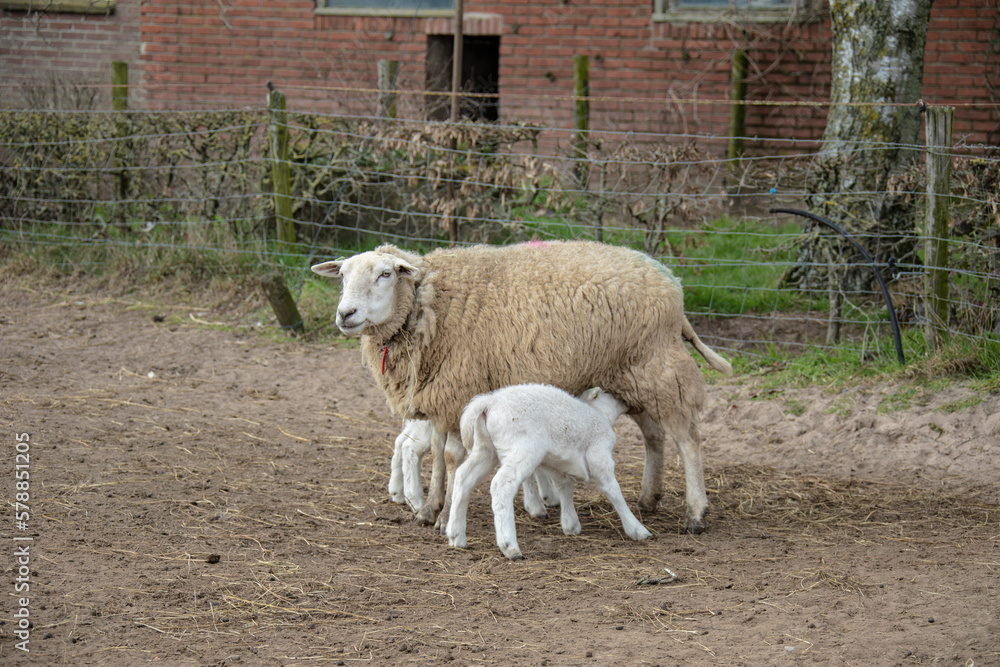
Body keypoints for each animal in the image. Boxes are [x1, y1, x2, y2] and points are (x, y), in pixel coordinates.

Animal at [311, 240, 732, 534]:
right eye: (343, 275)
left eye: (385, 274)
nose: (345, 314)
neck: (427, 303)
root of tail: (673, 284)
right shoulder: (440, 395)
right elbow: (437, 457)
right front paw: (429, 507)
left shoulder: (461, 390)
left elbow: (450, 457)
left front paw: (444, 515)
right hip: (629, 374)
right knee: (654, 435)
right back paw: (648, 498)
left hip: (657, 366)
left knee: (687, 438)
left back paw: (696, 513)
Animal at [446, 384, 650, 560]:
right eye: (608, 392)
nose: (626, 401)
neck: (599, 414)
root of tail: (489, 401)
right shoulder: (599, 455)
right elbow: (613, 491)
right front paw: (636, 529)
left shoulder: (558, 466)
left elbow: (565, 489)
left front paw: (571, 525)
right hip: (523, 448)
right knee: (501, 485)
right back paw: (509, 546)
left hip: (485, 449)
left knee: (463, 477)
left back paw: (456, 535)